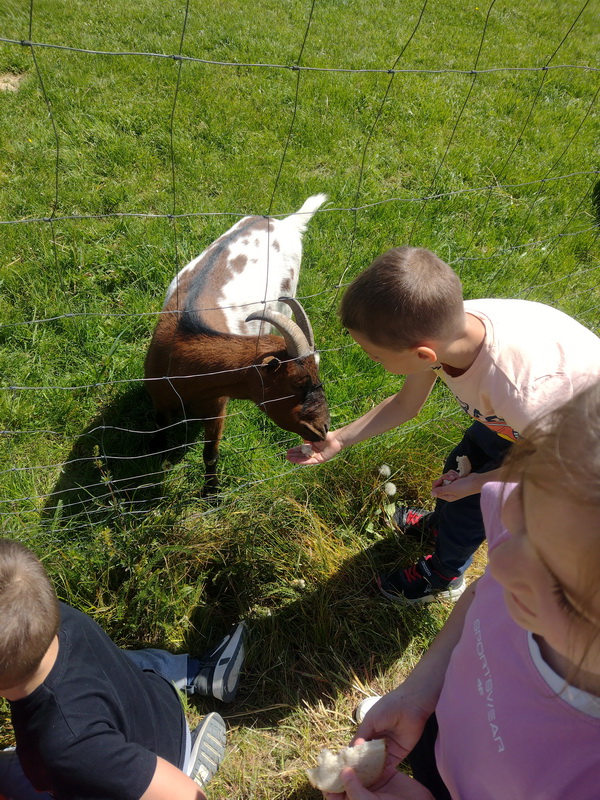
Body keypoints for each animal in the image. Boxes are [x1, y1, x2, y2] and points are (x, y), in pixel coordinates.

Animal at [144, 194, 330, 492]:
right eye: (297, 382)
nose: (323, 429)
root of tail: (286, 223)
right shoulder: (159, 399)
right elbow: (160, 434)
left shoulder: (217, 408)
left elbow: (210, 453)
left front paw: (211, 492)